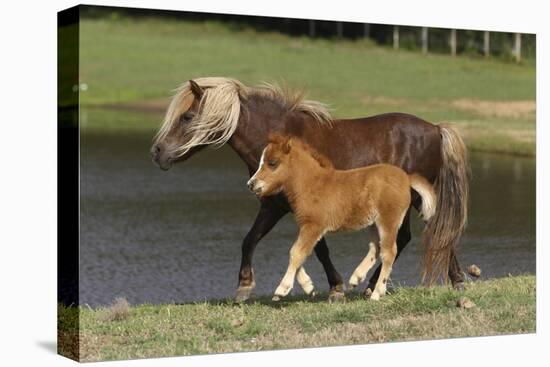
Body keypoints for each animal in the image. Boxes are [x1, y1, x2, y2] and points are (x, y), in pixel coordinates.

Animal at [250, 135, 440, 302]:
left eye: (272, 163)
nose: (251, 184)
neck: (312, 184)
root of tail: (406, 178)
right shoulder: (308, 226)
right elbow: (299, 252)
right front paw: (308, 287)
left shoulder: (313, 226)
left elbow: (296, 252)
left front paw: (281, 290)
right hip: (373, 223)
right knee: (375, 247)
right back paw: (356, 278)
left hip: (388, 220)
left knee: (389, 252)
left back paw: (376, 293)